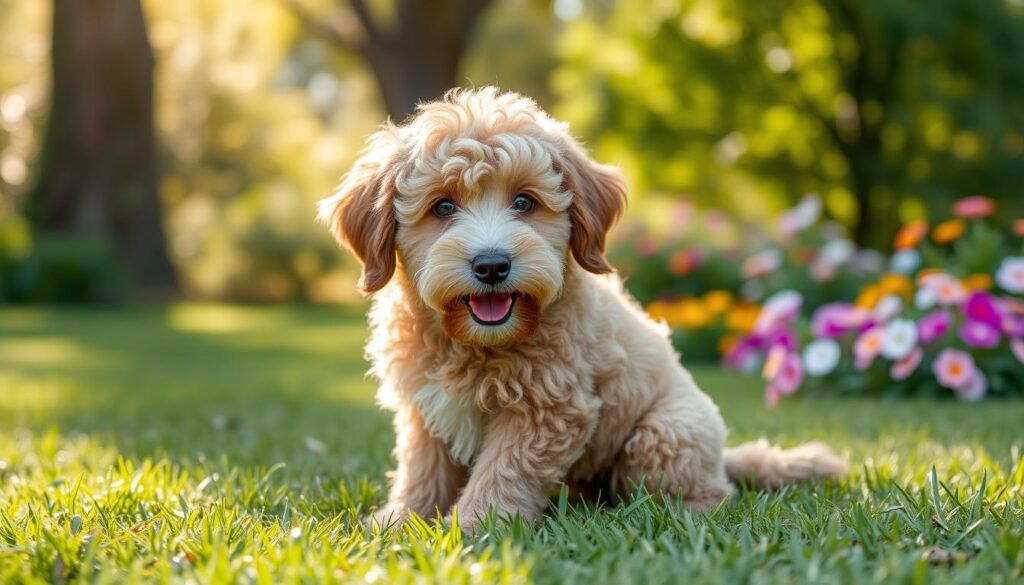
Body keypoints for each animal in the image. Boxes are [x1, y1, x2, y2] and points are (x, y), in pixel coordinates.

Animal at [321, 87, 847, 532]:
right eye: (442, 207)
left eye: (524, 202)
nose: (492, 265)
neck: (472, 343)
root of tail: (722, 457)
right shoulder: (425, 410)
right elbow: (422, 471)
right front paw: (398, 522)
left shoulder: (548, 408)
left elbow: (501, 473)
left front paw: (471, 529)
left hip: (665, 435)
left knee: (709, 495)